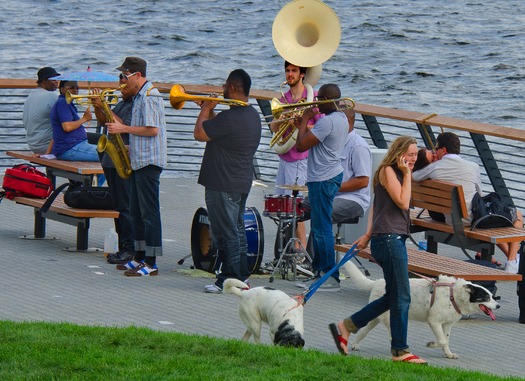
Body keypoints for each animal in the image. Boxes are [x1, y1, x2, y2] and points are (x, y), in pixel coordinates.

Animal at [342, 258, 498, 356]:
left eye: (492, 296)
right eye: (486, 297)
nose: (498, 305)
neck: (453, 295)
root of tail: (377, 281)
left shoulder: (447, 324)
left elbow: (446, 340)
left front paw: (448, 354)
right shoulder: (434, 322)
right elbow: (442, 340)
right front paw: (431, 344)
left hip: (377, 316)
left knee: (364, 330)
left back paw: (355, 344)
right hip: (388, 317)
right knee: (390, 334)